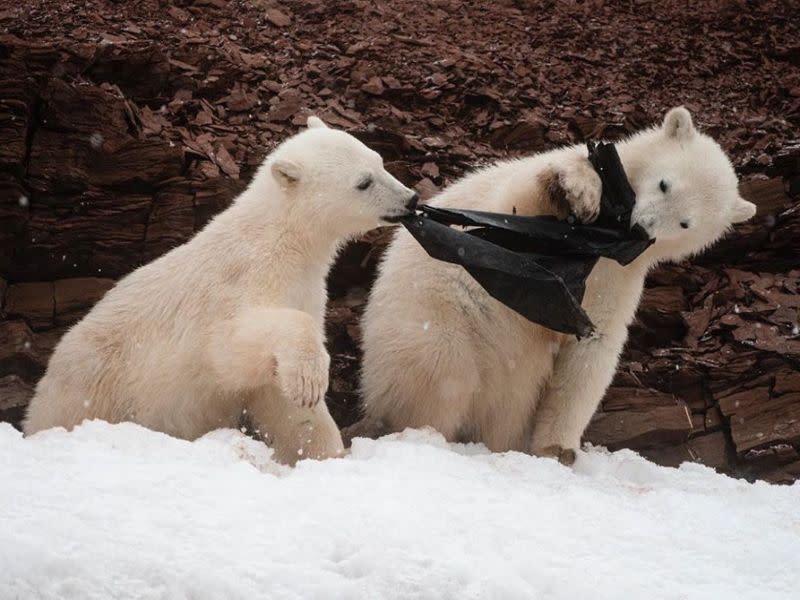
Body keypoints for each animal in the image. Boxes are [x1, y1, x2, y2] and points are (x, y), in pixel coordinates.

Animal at [23, 117, 418, 464]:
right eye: (363, 182)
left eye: (379, 161)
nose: (411, 199)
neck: (280, 243)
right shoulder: (234, 287)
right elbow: (230, 347)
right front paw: (310, 380)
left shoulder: (304, 290)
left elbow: (280, 399)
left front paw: (323, 451)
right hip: (93, 387)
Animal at [350, 108, 756, 464]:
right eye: (664, 183)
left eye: (686, 223)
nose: (642, 227)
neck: (609, 241)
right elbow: (518, 205)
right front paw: (577, 189)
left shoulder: (620, 276)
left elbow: (591, 348)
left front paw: (558, 449)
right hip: (433, 318)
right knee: (442, 369)